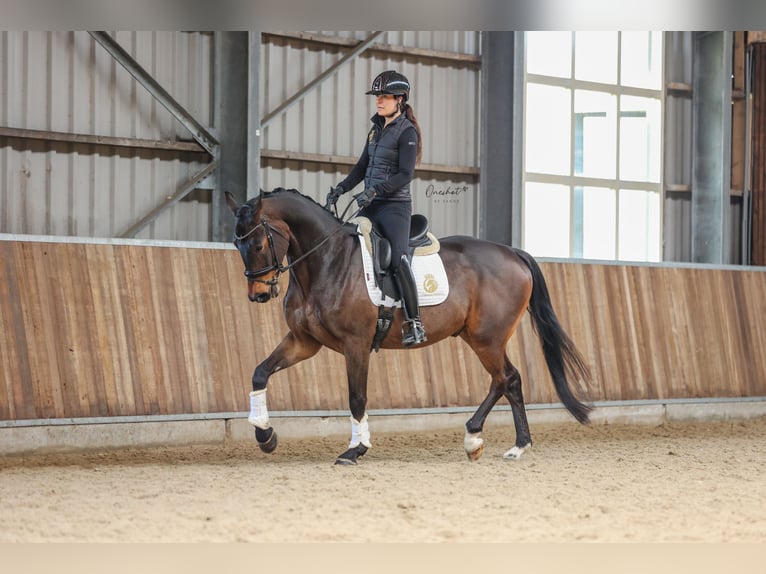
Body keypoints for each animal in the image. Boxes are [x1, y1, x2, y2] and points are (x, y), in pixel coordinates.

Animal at [224, 187, 592, 466]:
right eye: (237, 246)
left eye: (257, 244)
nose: (258, 294)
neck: (325, 261)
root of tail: (513, 253)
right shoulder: (304, 341)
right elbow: (260, 372)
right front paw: (265, 435)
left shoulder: (355, 344)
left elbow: (357, 397)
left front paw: (355, 450)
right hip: (479, 337)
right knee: (508, 381)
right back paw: (509, 444)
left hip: (487, 338)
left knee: (507, 378)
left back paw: (484, 439)